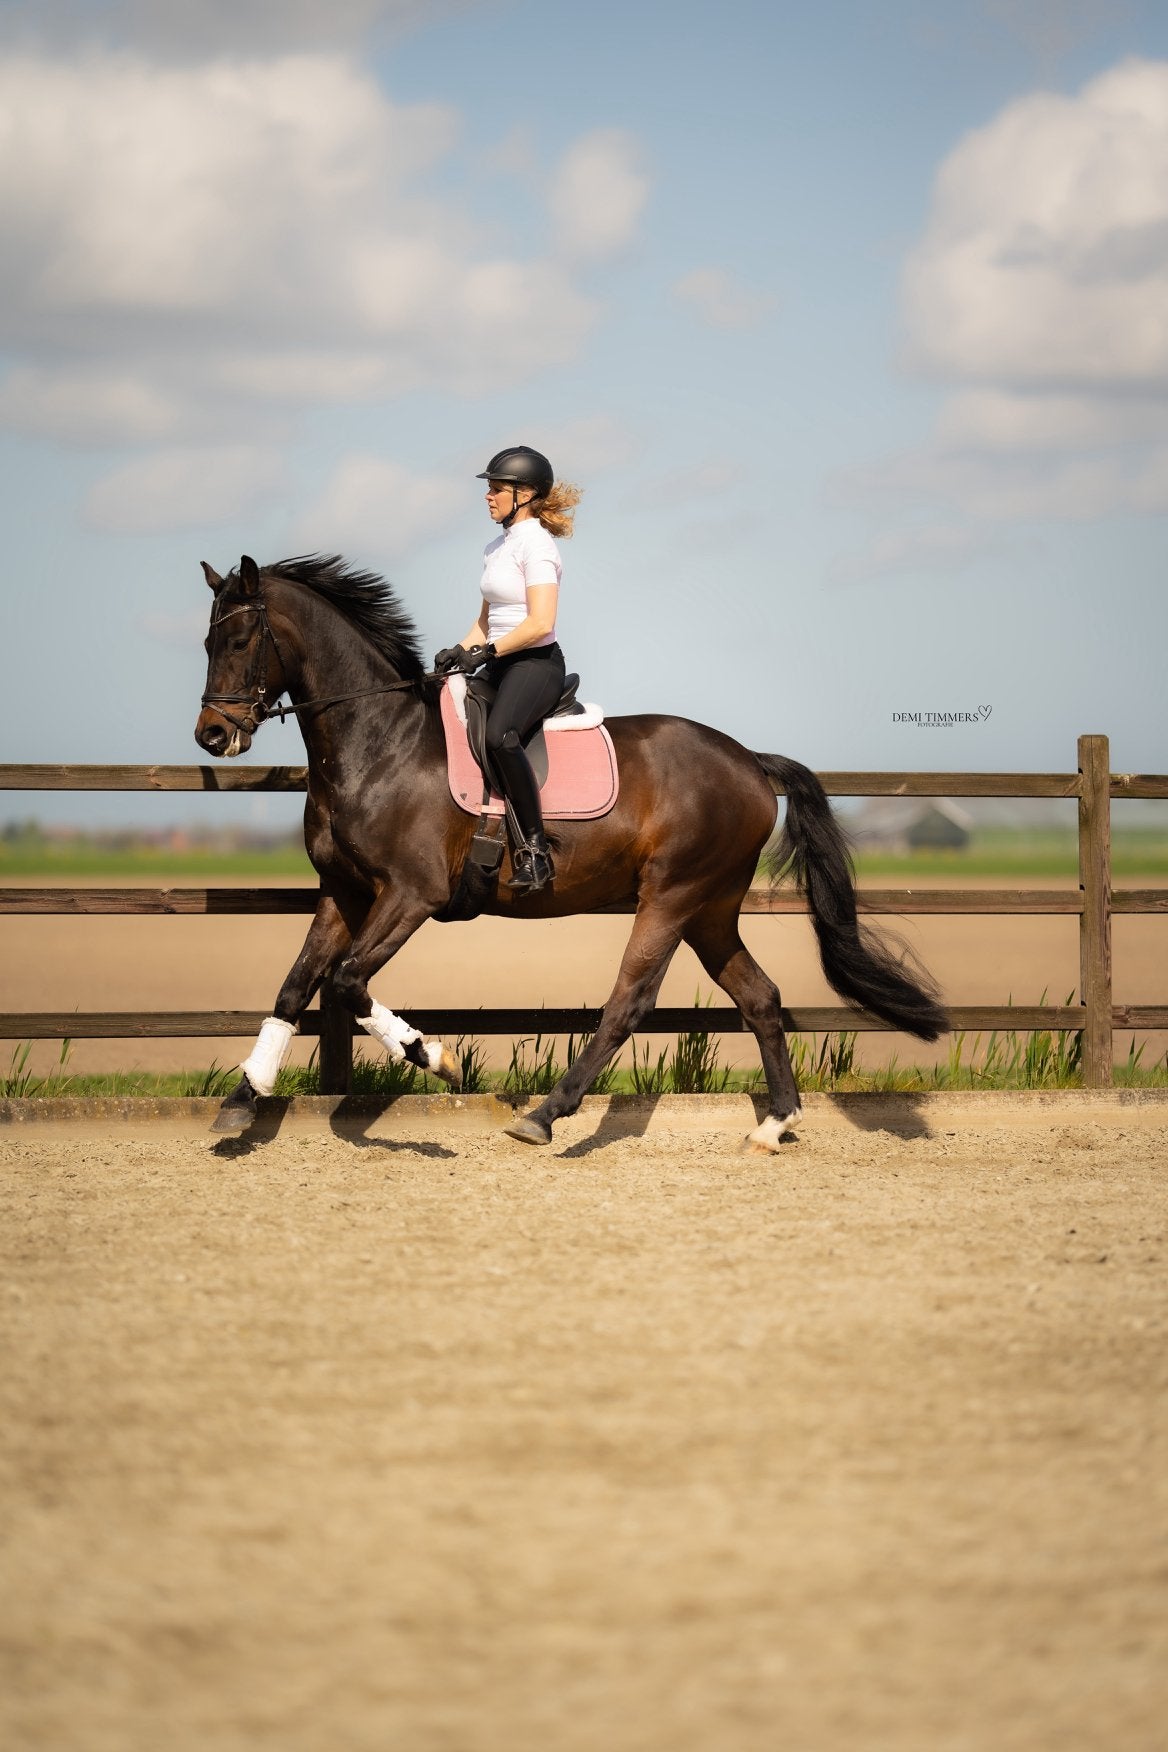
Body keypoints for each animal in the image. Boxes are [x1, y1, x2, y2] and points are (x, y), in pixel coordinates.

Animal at [194, 554, 947, 1145]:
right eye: (207, 641)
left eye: (241, 638)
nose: (212, 735)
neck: (377, 743)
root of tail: (750, 763)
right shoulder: (345, 893)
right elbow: (296, 986)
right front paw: (243, 1098)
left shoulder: (412, 894)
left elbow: (348, 981)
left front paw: (434, 1057)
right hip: (710, 909)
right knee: (760, 996)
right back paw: (775, 1124)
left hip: (672, 897)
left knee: (628, 1002)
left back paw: (546, 1115)